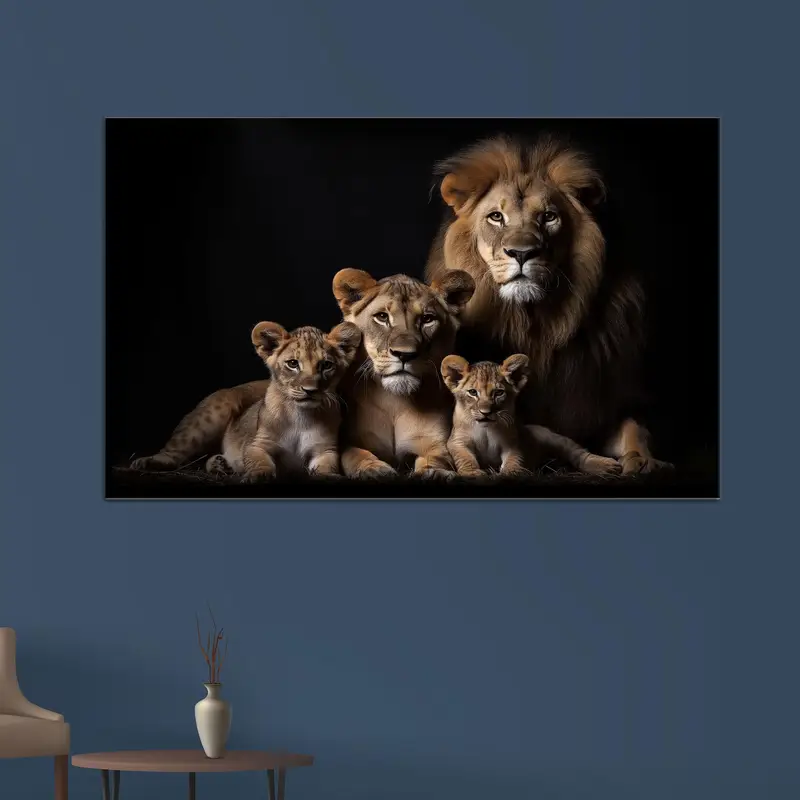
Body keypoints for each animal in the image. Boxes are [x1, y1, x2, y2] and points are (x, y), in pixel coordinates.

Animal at [131, 321, 360, 480]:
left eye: (326, 365)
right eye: (293, 364)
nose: (310, 390)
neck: (301, 416)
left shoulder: (325, 450)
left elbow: (326, 467)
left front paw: (329, 477)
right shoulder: (257, 444)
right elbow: (258, 461)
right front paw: (258, 476)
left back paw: (220, 464)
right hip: (214, 412)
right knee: (174, 450)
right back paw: (147, 462)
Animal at [330, 267, 475, 480]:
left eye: (427, 319)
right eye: (382, 317)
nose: (404, 354)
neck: (395, 403)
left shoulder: (436, 444)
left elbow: (436, 459)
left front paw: (433, 473)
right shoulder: (349, 440)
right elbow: (354, 454)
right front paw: (373, 470)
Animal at [425, 133, 672, 475]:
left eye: (548, 217)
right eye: (496, 217)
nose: (521, 253)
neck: (535, 323)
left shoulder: (606, 401)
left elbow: (634, 428)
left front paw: (642, 460)